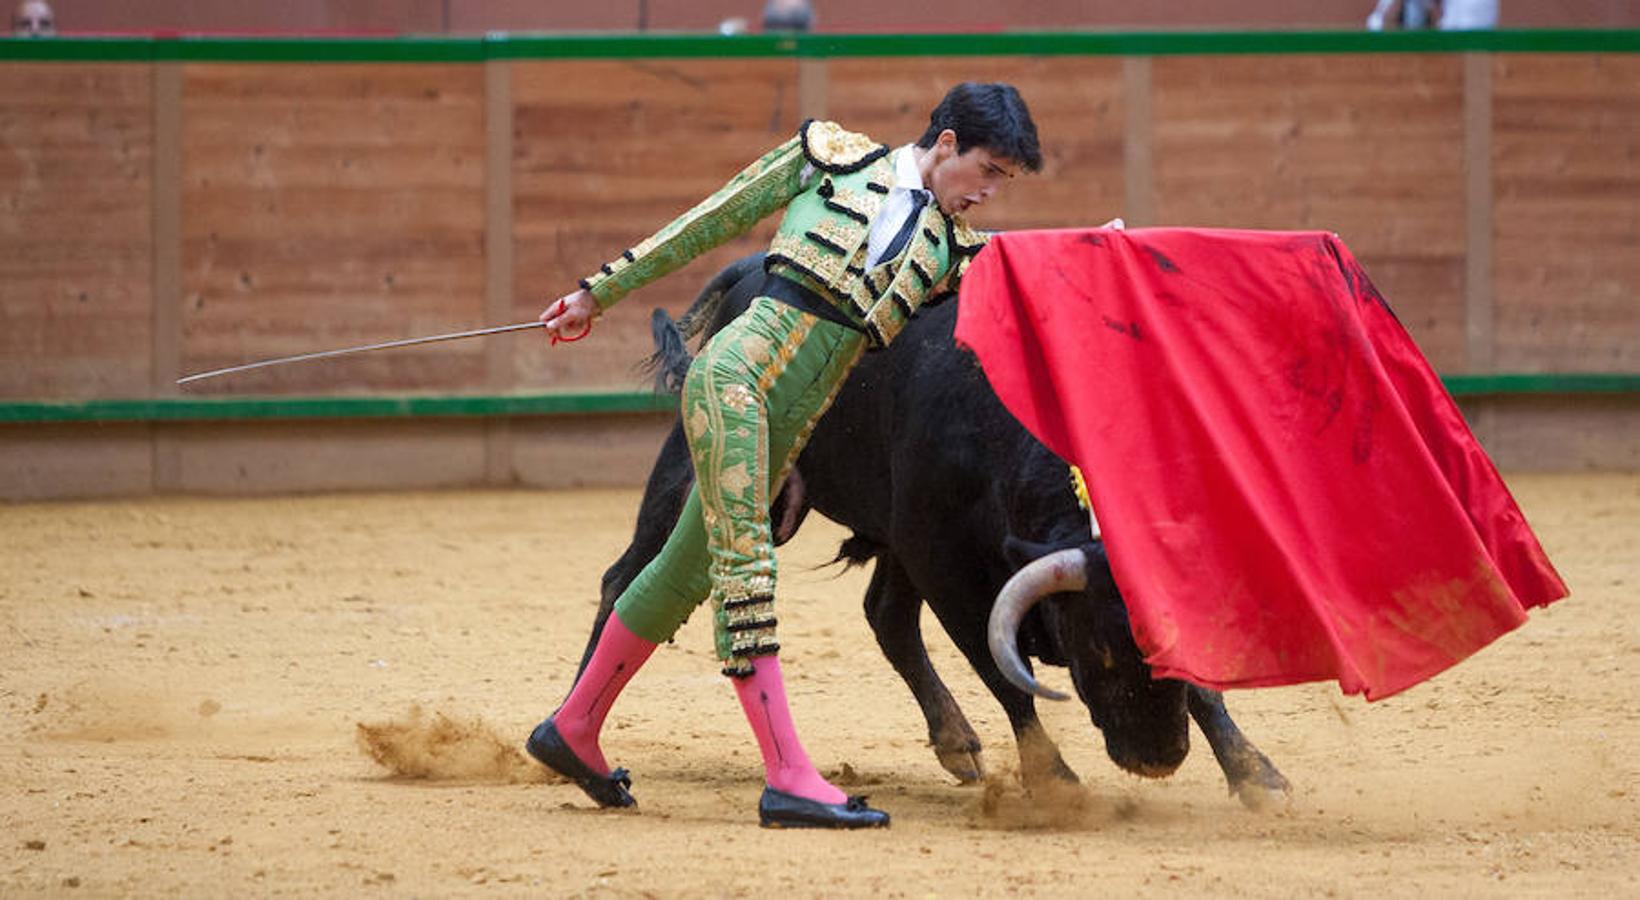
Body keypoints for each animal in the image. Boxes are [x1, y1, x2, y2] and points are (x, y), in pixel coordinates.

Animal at [583, 254, 1285, 806]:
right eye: (1101, 648)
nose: (1158, 757)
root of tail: (749, 267)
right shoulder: (945, 566)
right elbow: (1001, 670)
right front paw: (1053, 780)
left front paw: (1255, 773)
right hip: (700, 473)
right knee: (626, 580)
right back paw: (580, 749)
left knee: (885, 615)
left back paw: (955, 742)